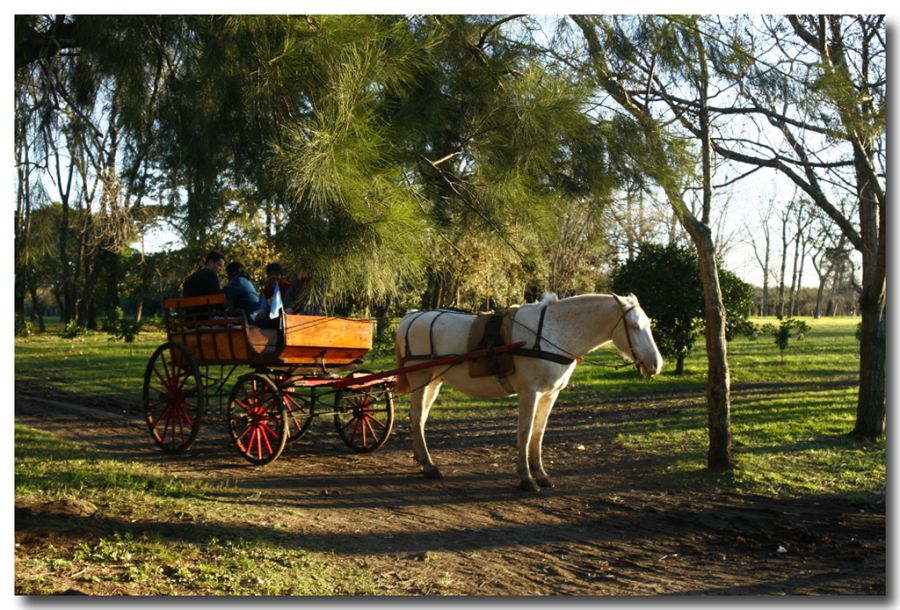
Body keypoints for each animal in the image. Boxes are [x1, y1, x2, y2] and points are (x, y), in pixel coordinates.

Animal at [394, 290, 660, 490]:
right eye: (635, 326)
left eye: (648, 324)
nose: (656, 364)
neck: (553, 332)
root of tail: (411, 317)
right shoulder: (530, 392)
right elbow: (525, 431)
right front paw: (526, 477)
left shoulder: (550, 395)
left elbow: (538, 434)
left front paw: (540, 474)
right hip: (420, 377)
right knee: (416, 417)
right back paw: (429, 465)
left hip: (433, 381)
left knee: (420, 417)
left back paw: (421, 459)